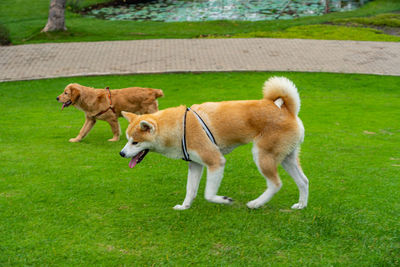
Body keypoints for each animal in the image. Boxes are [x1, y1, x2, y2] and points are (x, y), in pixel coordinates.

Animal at [119, 76, 310, 210]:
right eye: (128, 140)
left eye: (135, 142)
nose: (121, 153)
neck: (180, 126)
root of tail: (287, 110)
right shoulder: (195, 165)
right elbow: (190, 190)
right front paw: (184, 206)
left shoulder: (215, 162)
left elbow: (208, 194)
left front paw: (224, 200)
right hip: (287, 158)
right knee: (304, 181)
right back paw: (301, 205)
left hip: (262, 155)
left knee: (276, 184)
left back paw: (255, 203)